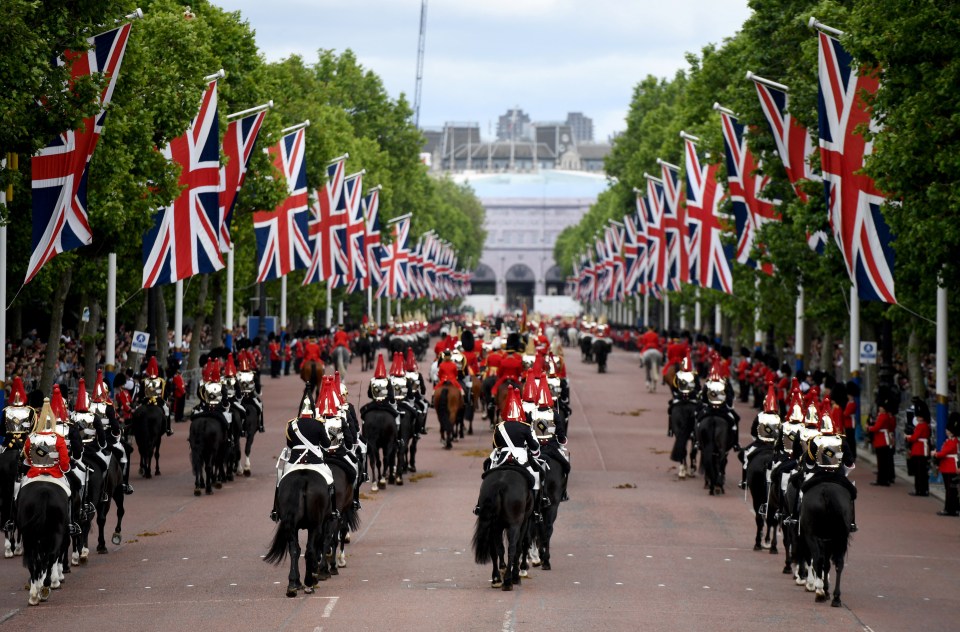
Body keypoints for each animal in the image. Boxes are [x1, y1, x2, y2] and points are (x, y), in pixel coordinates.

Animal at [17, 478, 70, 608]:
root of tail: (44, 493)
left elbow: (41, 561)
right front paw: (55, 579)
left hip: (30, 537)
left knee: (34, 561)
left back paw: (34, 595)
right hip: (57, 533)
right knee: (52, 555)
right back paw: (46, 587)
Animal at [474, 464, 536, 592]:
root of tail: (500, 484)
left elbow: (498, 549)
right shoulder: (523, 523)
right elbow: (519, 547)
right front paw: (516, 575)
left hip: (494, 525)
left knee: (496, 549)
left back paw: (497, 578)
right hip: (514, 525)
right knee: (512, 548)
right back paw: (508, 580)